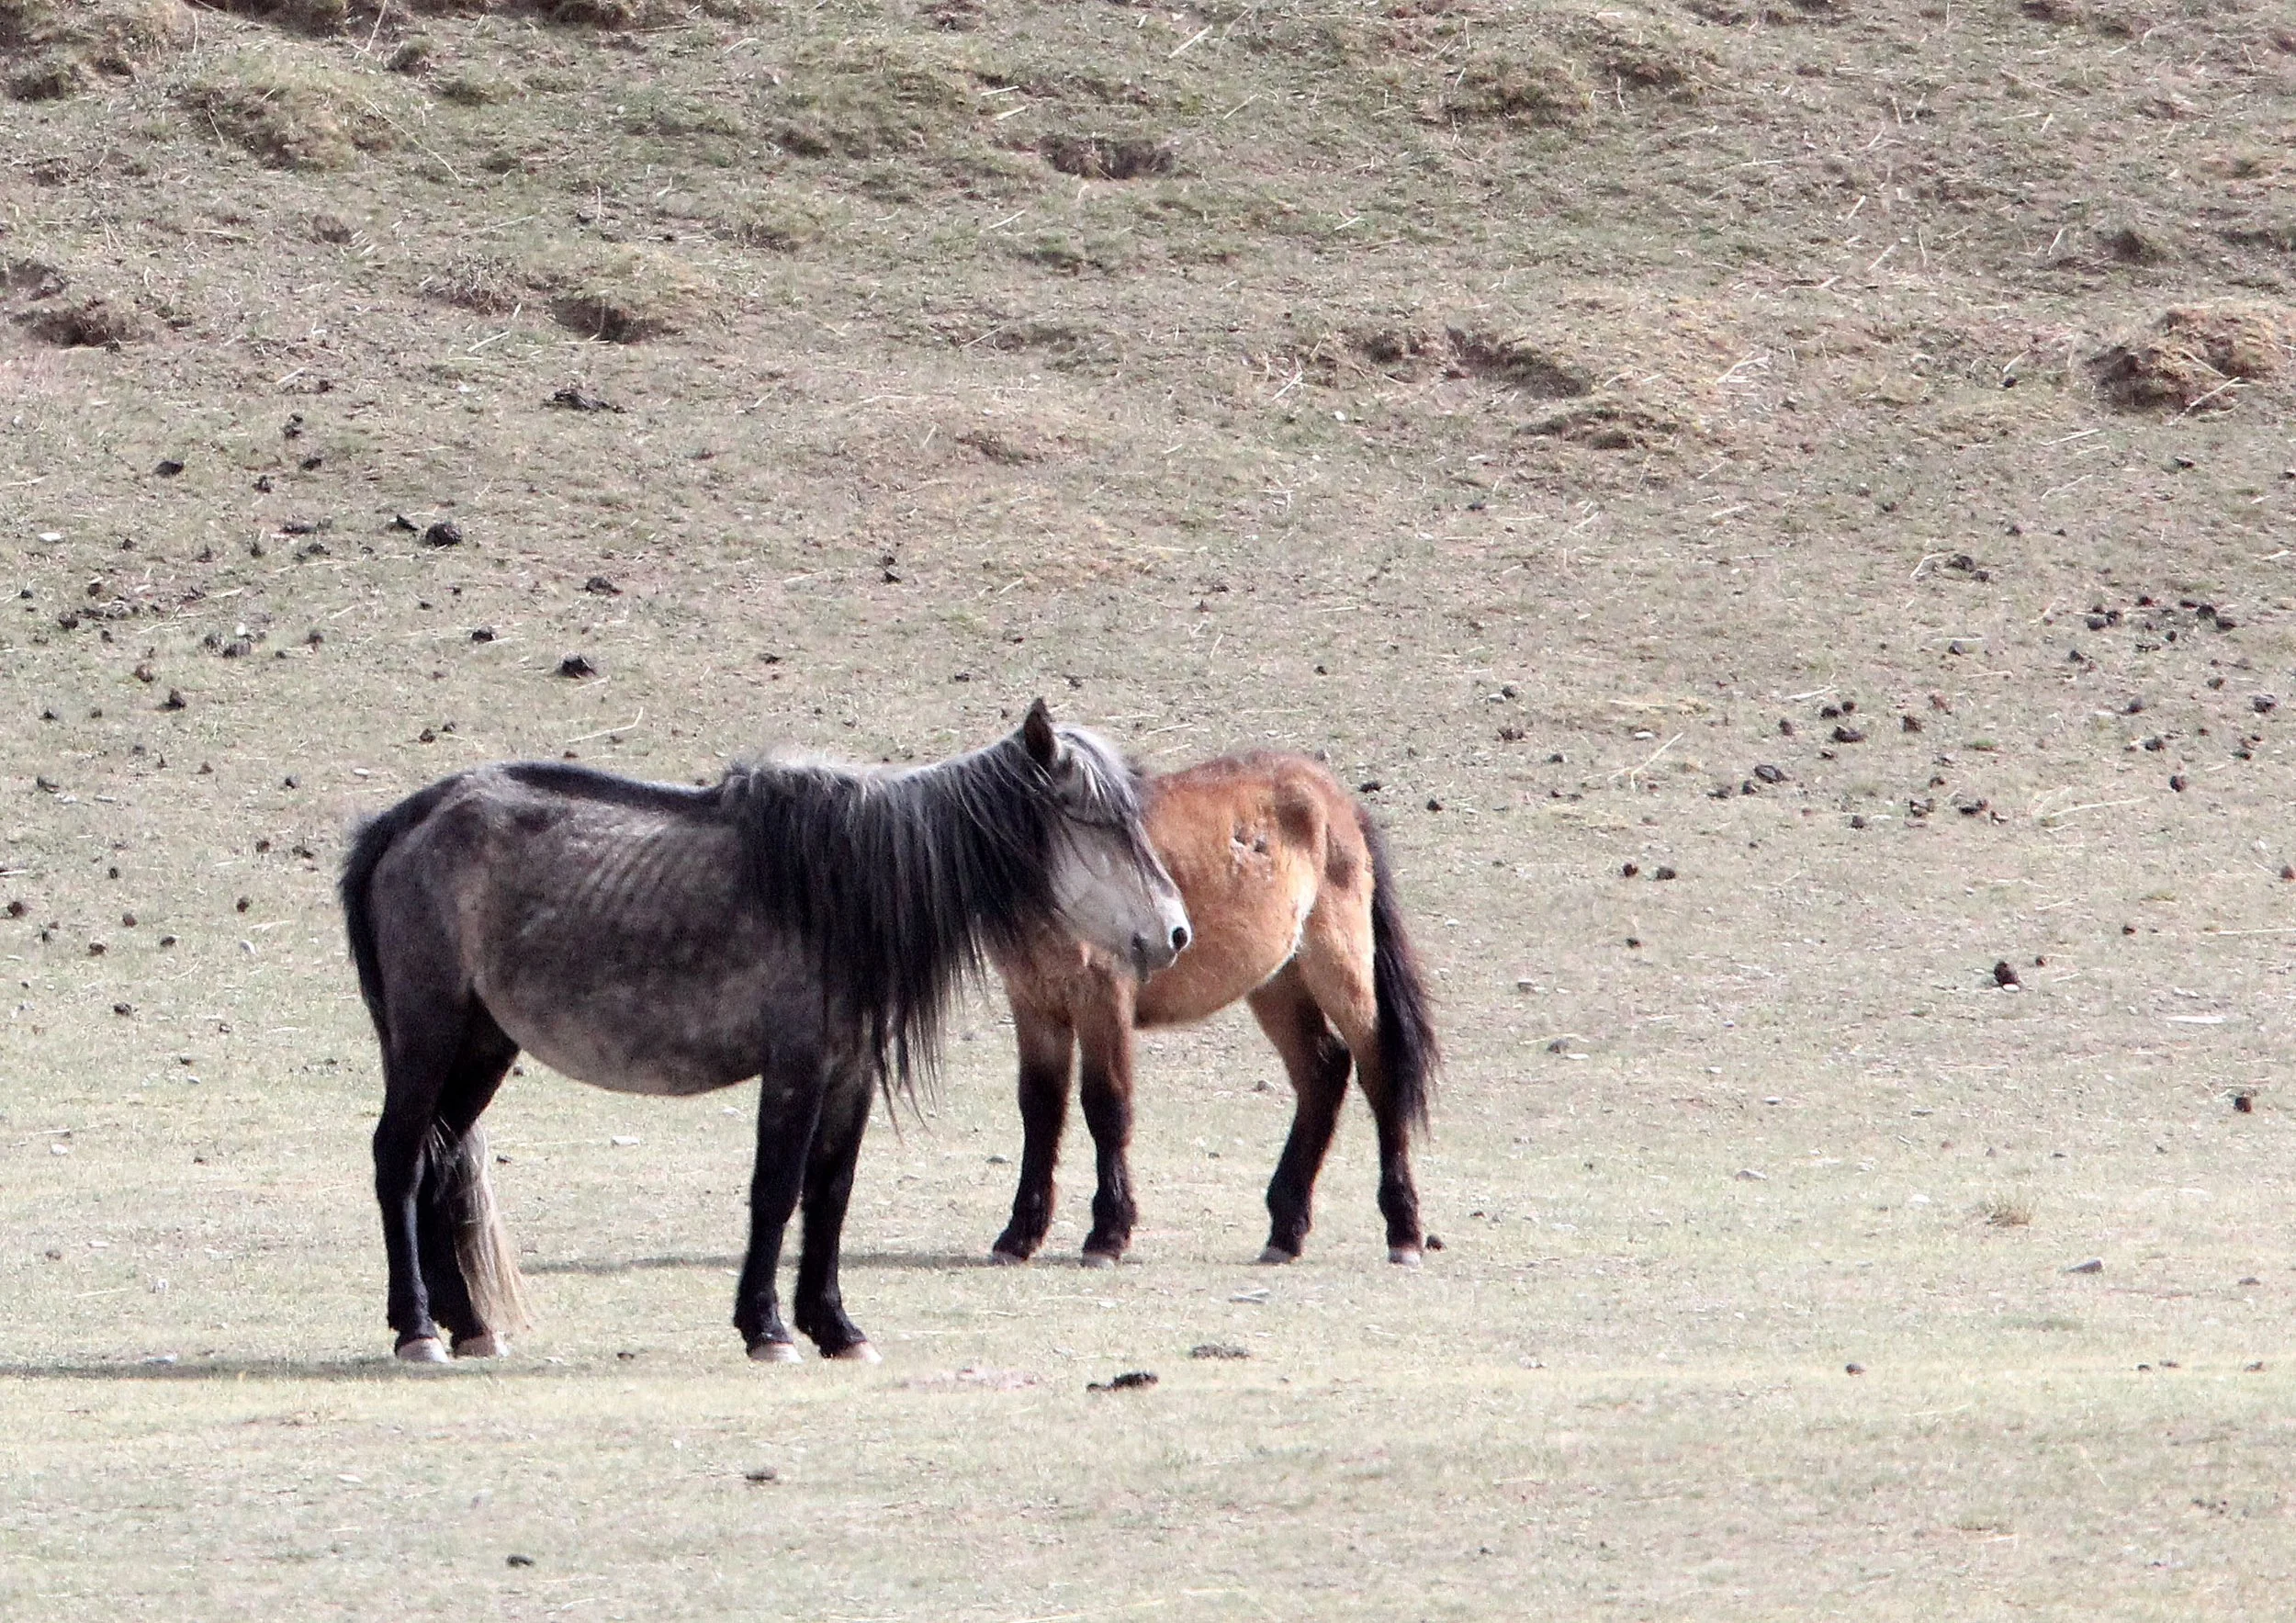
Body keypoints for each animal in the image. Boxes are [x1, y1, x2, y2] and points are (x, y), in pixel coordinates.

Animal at [339, 700, 1190, 1366]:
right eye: (1102, 823)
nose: (1175, 932)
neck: (851, 886)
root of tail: (405, 821)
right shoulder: (797, 1067)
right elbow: (776, 1190)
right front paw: (768, 1327)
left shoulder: (849, 1071)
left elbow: (831, 1192)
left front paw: (837, 1327)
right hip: (429, 1035)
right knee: (400, 1159)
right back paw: (417, 1329)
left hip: (482, 1046)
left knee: (439, 1161)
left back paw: (469, 1325)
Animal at [987, 749, 1439, 1271]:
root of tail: (1336, 798)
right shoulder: (1034, 1004)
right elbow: (1040, 1109)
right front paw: (1019, 1235)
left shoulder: (1103, 1000)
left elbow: (1106, 1106)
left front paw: (1107, 1236)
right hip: (1276, 981)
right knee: (1322, 1069)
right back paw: (1285, 1232)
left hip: (1338, 965)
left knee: (1378, 1067)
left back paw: (1404, 1233)